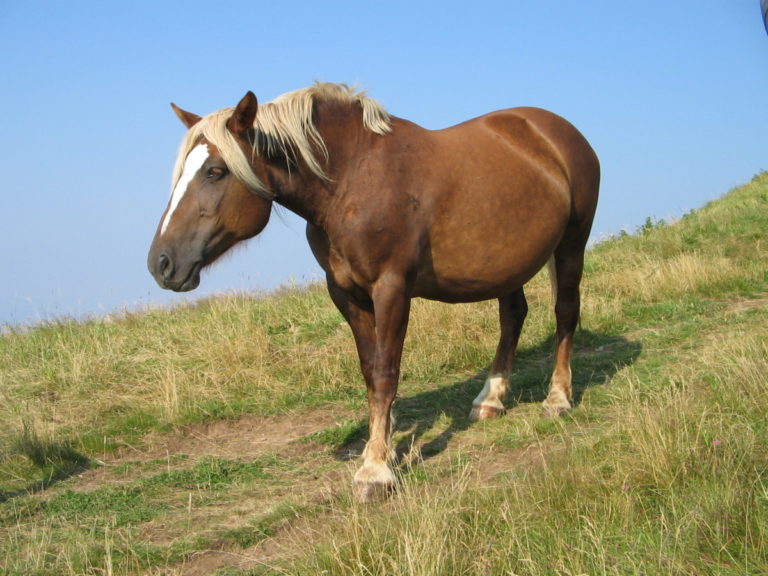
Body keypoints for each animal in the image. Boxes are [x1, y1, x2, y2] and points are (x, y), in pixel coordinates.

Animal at [148, 83, 600, 502]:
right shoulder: (347, 295)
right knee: (513, 317)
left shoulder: (391, 288)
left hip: (571, 244)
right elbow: (370, 372)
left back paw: (557, 399)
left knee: (565, 312)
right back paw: (490, 400)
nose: (161, 264)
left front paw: (375, 471)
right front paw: (379, 447)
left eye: (216, 171)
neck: (351, 180)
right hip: (506, 264)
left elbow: (386, 372)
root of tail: (556, 132)